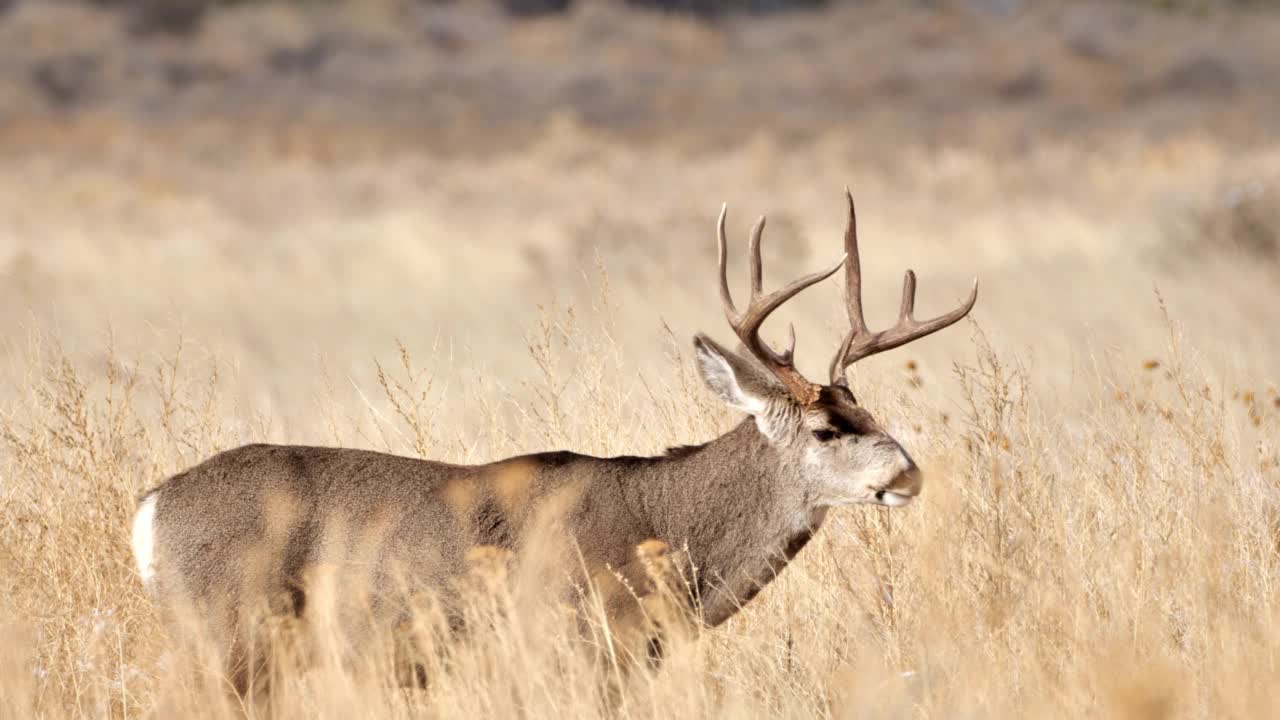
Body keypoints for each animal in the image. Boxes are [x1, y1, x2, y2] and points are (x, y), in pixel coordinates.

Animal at [132, 189, 977, 691]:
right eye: (829, 428)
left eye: (872, 414)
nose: (910, 474)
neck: (664, 527)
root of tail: (151, 507)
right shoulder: (575, 651)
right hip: (226, 634)